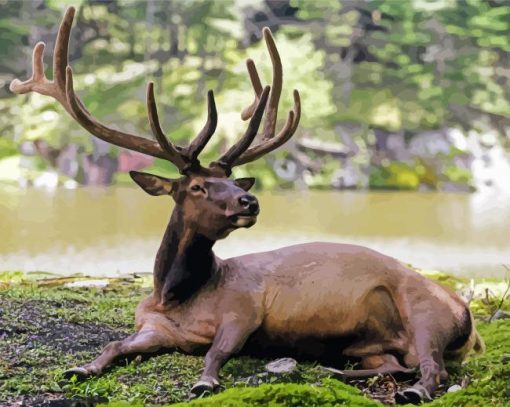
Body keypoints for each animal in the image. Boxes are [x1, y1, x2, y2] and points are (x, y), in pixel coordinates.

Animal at [9, 6, 484, 404]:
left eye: (230, 180)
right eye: (198, 186)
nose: (249, 199)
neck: (177, 298)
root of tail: (468, 316)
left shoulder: (244, 309)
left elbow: (217, 353)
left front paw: (205, 381)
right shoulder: (152, 327)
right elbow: (114, 344)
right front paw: (81, 367)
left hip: (426, 314)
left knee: (433, 368)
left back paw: (412, 389)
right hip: (373, 345)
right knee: (392, 364)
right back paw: (336, 370)